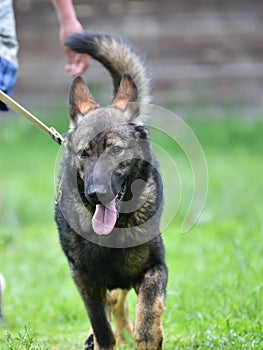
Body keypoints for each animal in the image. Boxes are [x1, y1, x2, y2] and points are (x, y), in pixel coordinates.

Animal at [55, 31, 169, 348]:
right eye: (84, 153)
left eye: (115, 150)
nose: (95, 194)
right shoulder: (84, 279)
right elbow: (101, 326)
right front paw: (103, 338)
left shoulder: (155, 268)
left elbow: (148, 310)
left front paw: (148, 337)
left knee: (120, 303)